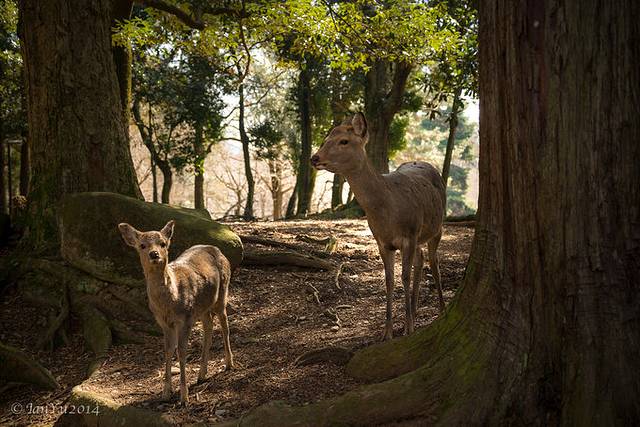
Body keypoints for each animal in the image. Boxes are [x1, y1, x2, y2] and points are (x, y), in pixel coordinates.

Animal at [118, 220, 234, 405]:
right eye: (142, 245)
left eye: (163, 243)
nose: (154, 254)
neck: (170, 302)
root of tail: (217, 249)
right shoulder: (163, 322)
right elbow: (167, 350)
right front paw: (166, 393)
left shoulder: (185, 319)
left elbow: (181, 351)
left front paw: (184, 397)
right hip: (202, 307)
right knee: (208, 327)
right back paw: (202, 375)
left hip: (222, 293)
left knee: (224, 325)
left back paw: (229, 364)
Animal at [311, 113, 446, 340]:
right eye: (325, 139)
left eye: (344, 141)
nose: (315, 158)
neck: (388, 210)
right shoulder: (382, 242)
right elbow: (389, 280)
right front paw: (387, 331)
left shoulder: (409, 234)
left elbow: (404, 277)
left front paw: (408, 328)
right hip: (421, 235)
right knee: (421, 260)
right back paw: (415, 308)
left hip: (437, 227)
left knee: (434, 262)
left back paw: (442, 308)